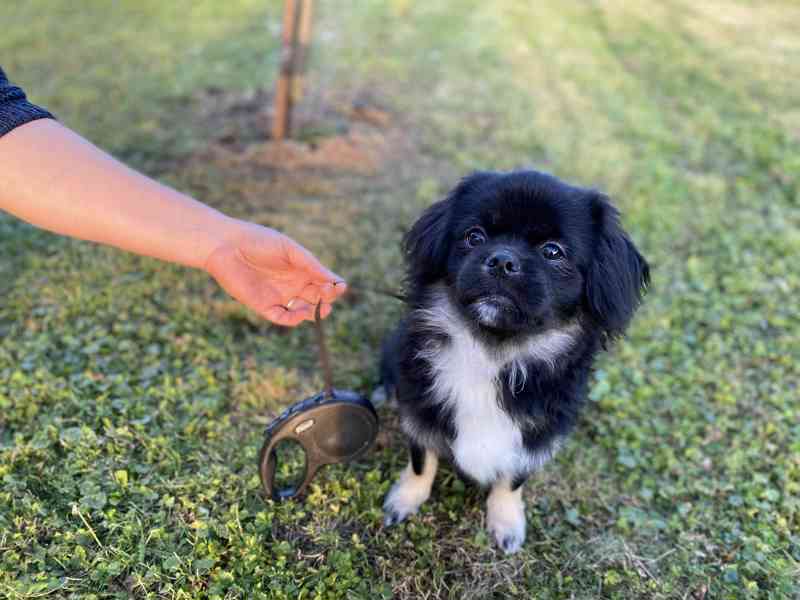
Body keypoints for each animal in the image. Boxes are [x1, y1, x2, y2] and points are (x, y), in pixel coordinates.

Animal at [376, 168, 648, 552]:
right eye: (474, 236)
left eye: (553, 252)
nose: (503, 260)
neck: (492, 354)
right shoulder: (419, 409)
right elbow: (421, 461)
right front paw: (405, 499)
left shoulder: (536, 435)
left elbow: (513, 478)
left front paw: (506, 522)